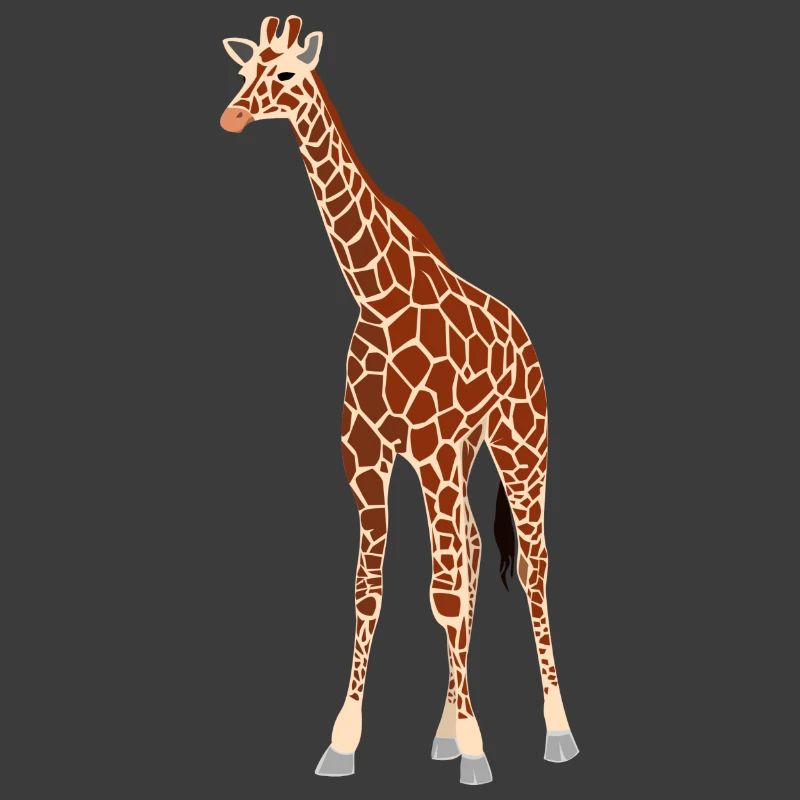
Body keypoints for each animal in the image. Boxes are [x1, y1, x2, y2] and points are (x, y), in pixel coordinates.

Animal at [220, 16, 579, 785]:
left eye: (287, 73)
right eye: (243, 70)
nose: (233, 115)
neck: (378, 297)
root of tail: (526, 339)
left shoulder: (434, 448)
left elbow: (443, 594)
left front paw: (477, 749)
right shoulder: (367, 457)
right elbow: (371, 590)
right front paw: (344, 741)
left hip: (519, 444)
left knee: (529, 566)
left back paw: (556, 730)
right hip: (459, 457)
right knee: (470, 549)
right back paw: (444, 729)